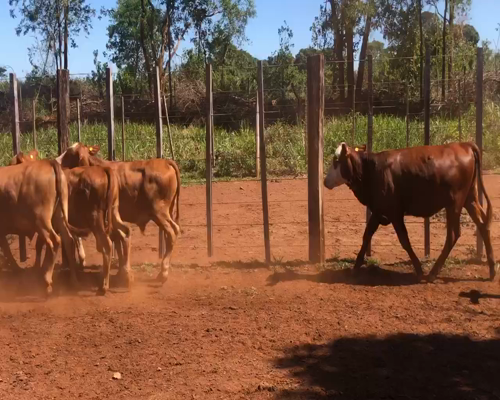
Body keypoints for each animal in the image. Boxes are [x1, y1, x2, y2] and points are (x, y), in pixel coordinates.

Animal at [0, 159, 85, 294]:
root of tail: (48, 162)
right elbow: (6, 249)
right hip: (60, 216)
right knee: (68, 240)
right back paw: (74, 281)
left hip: (42, 220)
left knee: (55, 241)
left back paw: (47, 279)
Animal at [56, 142, 181, 282]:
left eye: (70, 154)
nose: (56, 161)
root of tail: (166, 162)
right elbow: (117, 239)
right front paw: (122, 270)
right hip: (168, 211)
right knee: (173, 231)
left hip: (159, 212)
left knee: (171, 232)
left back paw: (163, 272)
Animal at [324, 142, 496, 282]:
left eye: (336, 161)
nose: (325, 181)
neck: (371, 170)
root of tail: (465, 145)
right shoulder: (379, 211)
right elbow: (367, 236)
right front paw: (355, 268)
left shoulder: (394, 213)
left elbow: (404, 240)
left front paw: (419, 269)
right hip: (470, 199)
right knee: (483, 225)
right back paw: (492, 270)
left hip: (454, 204)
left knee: (453, 234)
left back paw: (433, 273)